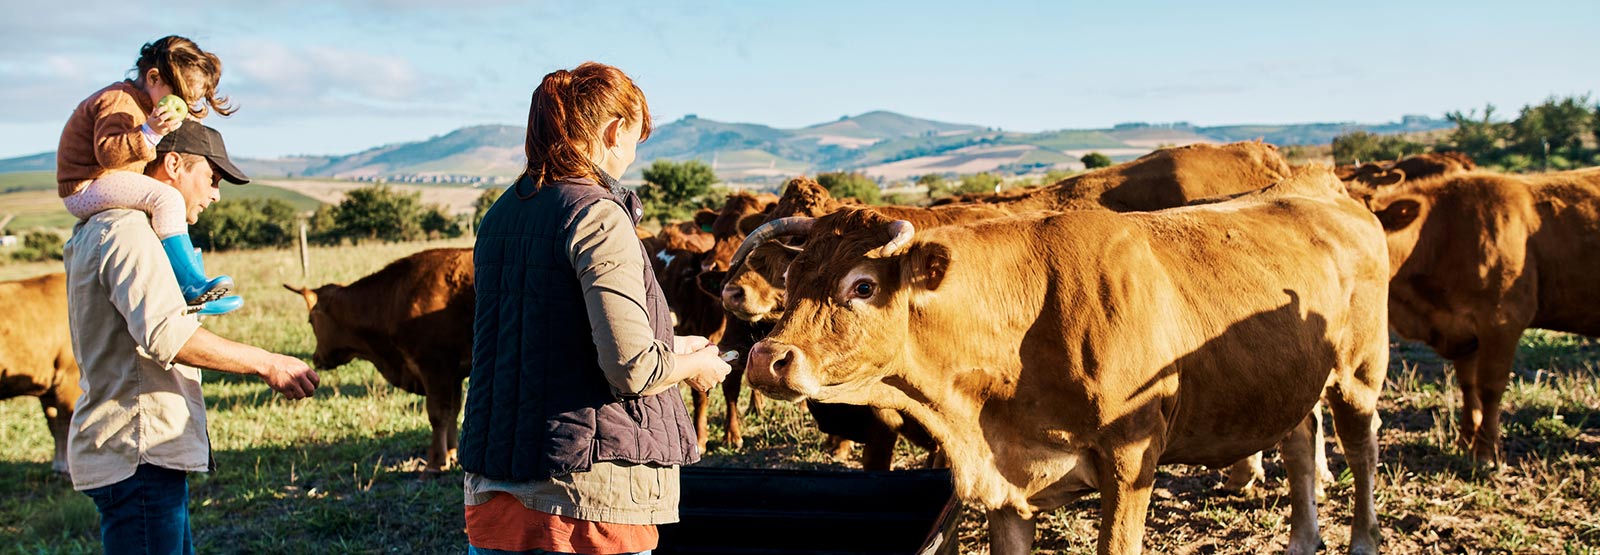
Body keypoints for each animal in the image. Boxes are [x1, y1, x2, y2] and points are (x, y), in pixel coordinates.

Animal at [0, 273, 80, 473]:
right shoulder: (69, 378)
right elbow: (65, 422)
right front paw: (64, 467)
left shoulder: (49, 386)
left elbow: (54, 423)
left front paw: (59, 465)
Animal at [284, 249, 470, 470]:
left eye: (310, 321)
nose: (316, 358)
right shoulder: (454, 374)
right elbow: (453, 412)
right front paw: (452, 453)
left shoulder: (434, 365)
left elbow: (438, 414)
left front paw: (436, 462)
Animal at [739, 170, 1388, 555]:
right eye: (792, 278)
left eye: (863, 285)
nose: (766, 359)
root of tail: (1323, 187)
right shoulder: (1005, 487)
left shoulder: (1132, 458)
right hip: (1291, 380)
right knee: (1300, 443)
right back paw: (1303, 540)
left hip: (1359, 373)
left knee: (1360, 447)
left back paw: (1362, 539)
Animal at [1363, 167, 1600, 463]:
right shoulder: (1461, 329)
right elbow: (1468, 384)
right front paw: (1465, 441)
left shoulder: (1502, 320)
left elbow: (1489, 386)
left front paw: (1486, 451)